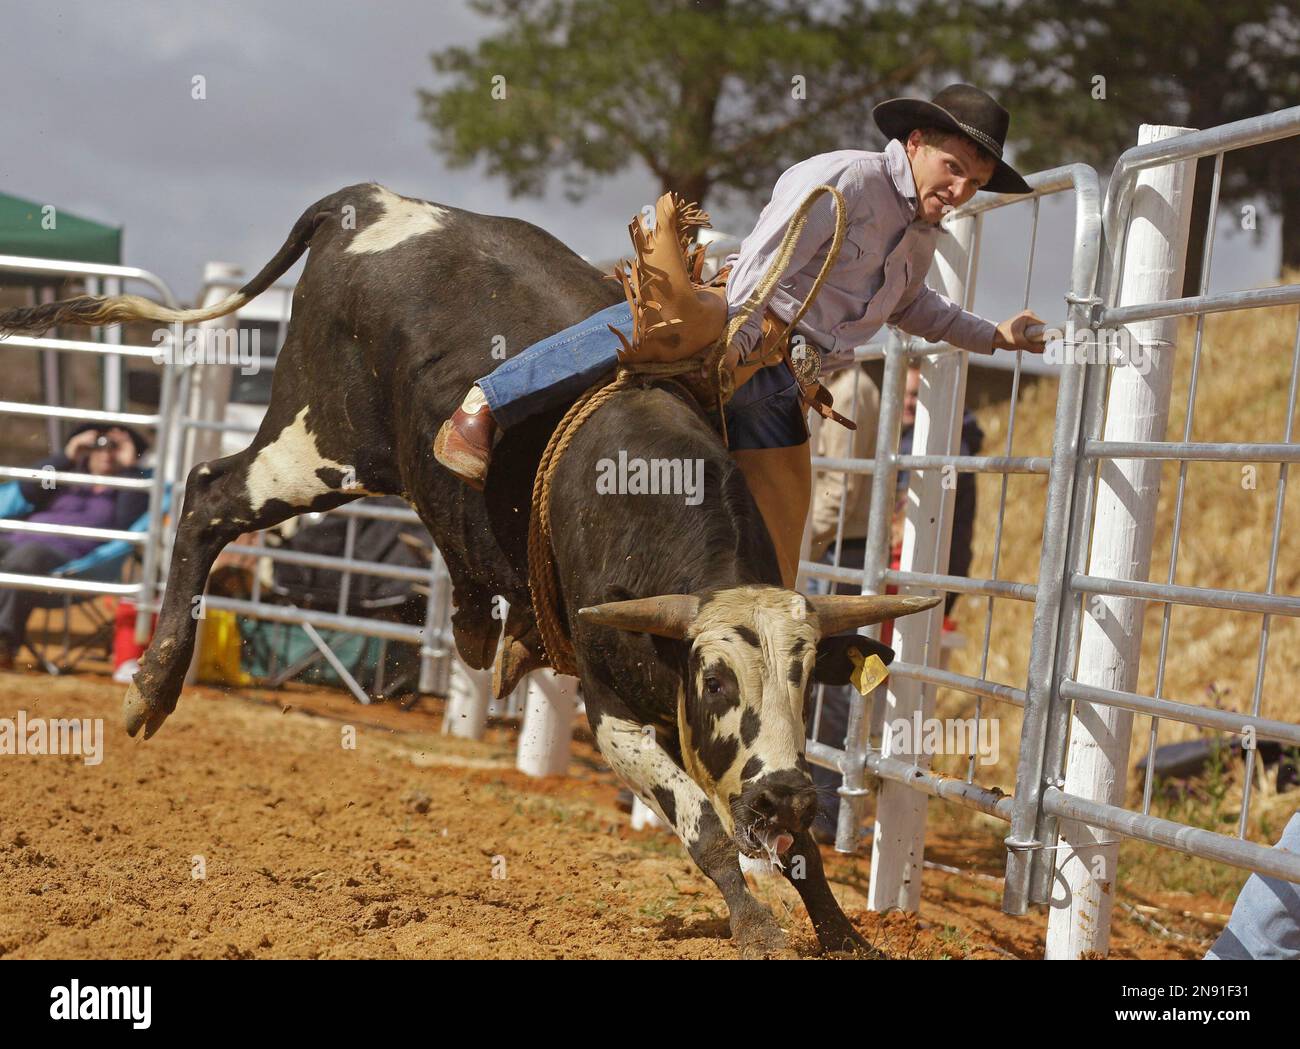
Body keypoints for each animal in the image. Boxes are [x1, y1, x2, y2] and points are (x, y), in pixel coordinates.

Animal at [0, 183, 938, 957]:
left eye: (808, 676)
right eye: (713, 681)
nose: (782, 797)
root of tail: (364, 203)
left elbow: (800, 850)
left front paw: (844, 932)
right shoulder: (612, 712)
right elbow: (703, 820)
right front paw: (753, 922)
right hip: (314, 446)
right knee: (203, 498)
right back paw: (151, 686)